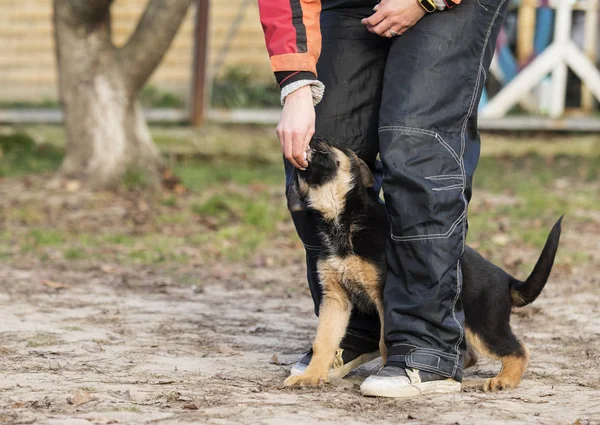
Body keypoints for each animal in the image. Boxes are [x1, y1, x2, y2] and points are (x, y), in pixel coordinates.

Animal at [284, 137, 560, 390]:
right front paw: (312, 375)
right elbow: (323, 341)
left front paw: (386, 371)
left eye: (332, 143)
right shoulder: (335, 298)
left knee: (519, 350)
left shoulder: (383, 296)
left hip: (484, 326)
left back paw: (503, 380)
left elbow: (385, 342)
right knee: (471, 354)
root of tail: (508, 280)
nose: (313, 136)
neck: (342, 220)